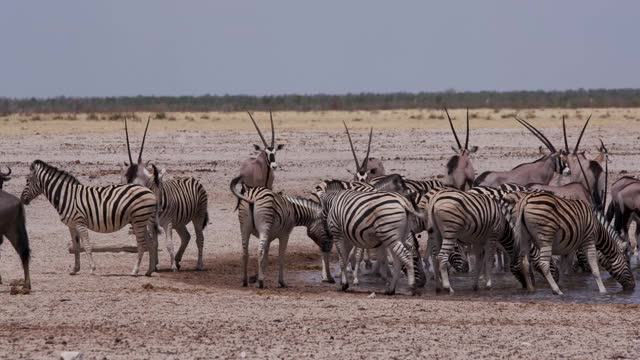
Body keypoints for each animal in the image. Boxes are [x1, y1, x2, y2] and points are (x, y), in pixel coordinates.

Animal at [21, 160, 158, 276]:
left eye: (27, 180)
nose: (22, 200)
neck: (67, 196)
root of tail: (149, 191)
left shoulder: (80, 223)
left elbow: (86, 245)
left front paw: (92, 268)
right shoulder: (71, 225)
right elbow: (76, 247)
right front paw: (75, 269)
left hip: (138, 220)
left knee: (141, 244)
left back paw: (135, 271)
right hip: (140, 221)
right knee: (151, 243)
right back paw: (149, 271)